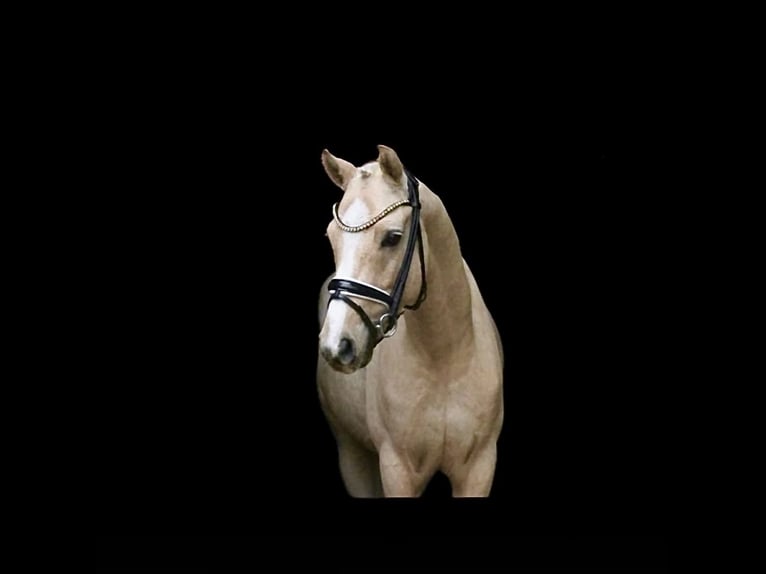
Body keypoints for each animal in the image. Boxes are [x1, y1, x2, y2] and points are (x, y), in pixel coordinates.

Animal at [316, 145, 504, 497]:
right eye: (332, 238)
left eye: (392, 237)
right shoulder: (397, 469)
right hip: (352, 453)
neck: (446, 359)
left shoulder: (479, 468)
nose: (337, 345)